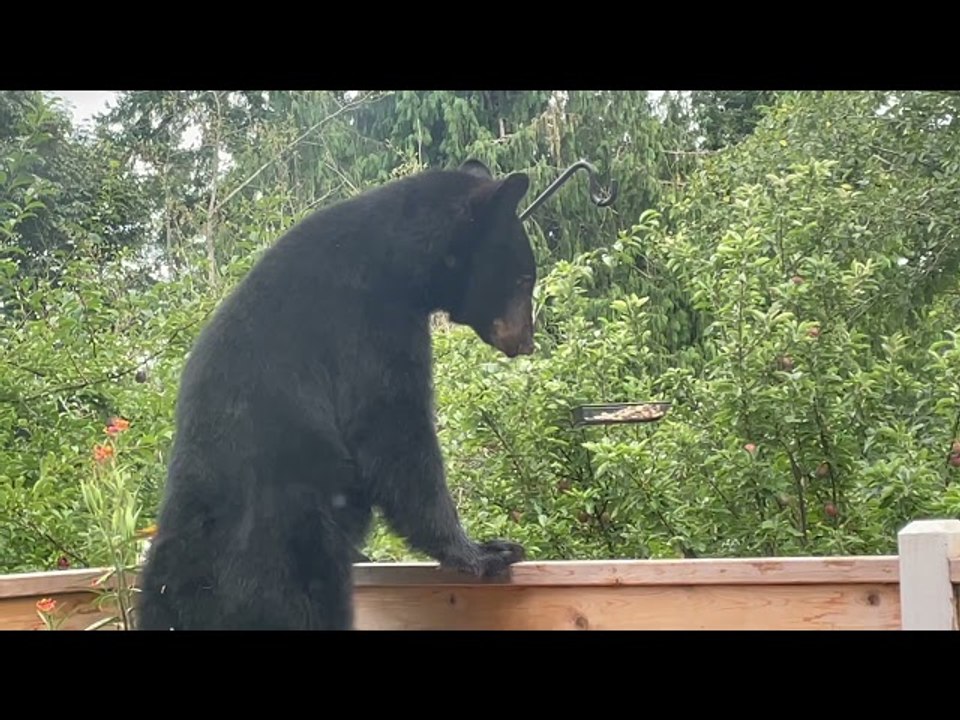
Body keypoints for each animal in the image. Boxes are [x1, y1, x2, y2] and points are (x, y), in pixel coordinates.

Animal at [135, 158, 536, 630]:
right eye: (524, 277)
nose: (527, 342)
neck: (396, 257)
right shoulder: (366, 328)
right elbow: (393, 435)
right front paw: (484, 551)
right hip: (292, 558)